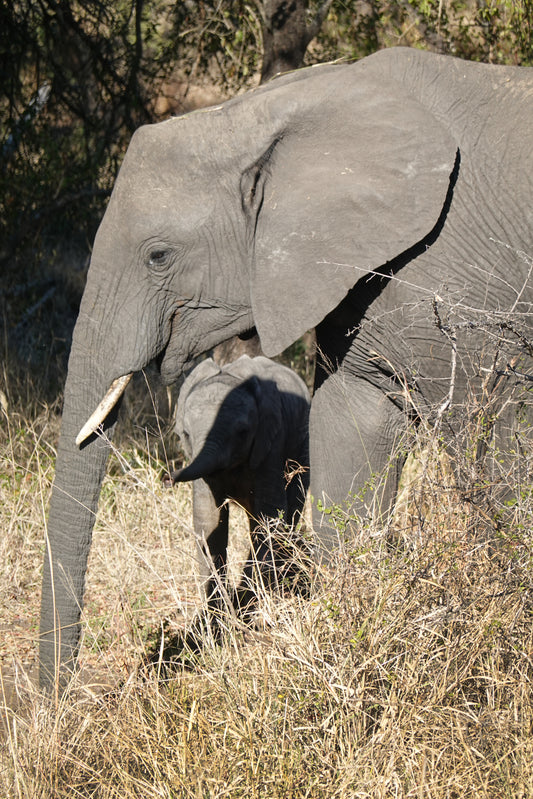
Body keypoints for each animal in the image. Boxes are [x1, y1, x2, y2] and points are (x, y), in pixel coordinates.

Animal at [165, 354, 308, 620]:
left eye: (242, 432)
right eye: (186, 434)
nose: (168, 478)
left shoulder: (271, 441)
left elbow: (270, 515)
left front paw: (243, 610)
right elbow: (209, 518)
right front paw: (217, 615)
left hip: (303, 446)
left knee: (292, 506)